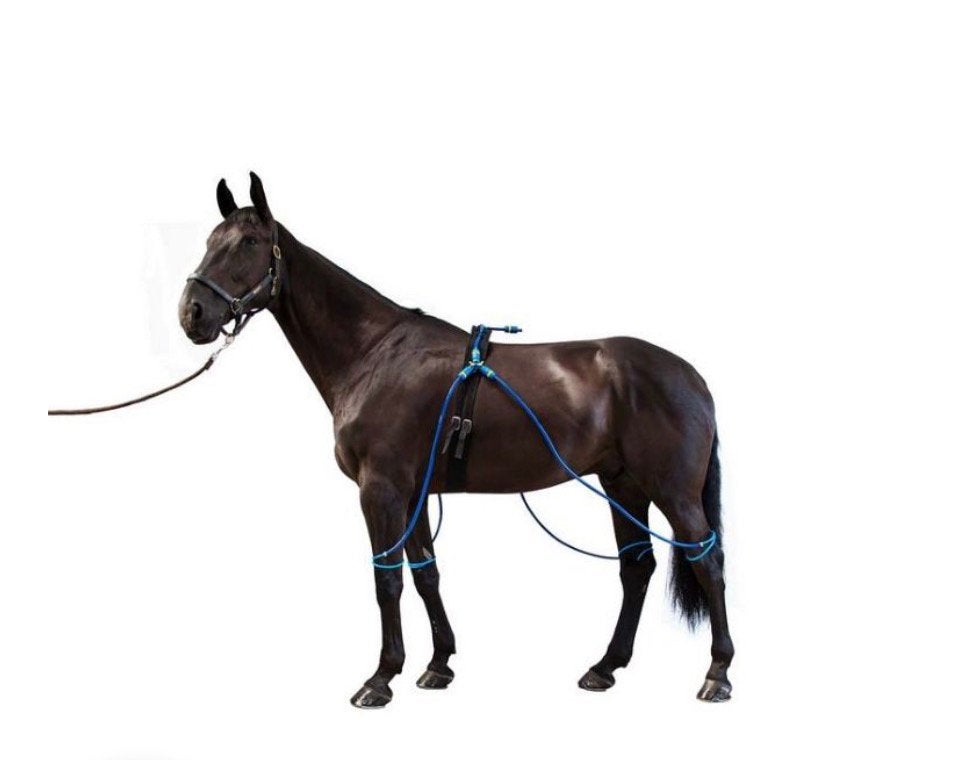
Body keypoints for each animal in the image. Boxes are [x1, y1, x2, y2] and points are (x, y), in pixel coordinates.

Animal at [179, 173, 734, 708]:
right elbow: (425, 571)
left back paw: (717, 674)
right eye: (210, 240)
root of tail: (692, 376)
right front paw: (438, 664)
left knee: (707, 562)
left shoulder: (380, 489)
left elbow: (388, 578)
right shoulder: (413, 492)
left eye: (250, 242)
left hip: (672, 492)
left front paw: (381, 677)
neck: (374, 352)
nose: (193, 313)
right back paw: (605, 667)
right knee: (637, 568)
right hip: (624, 486)